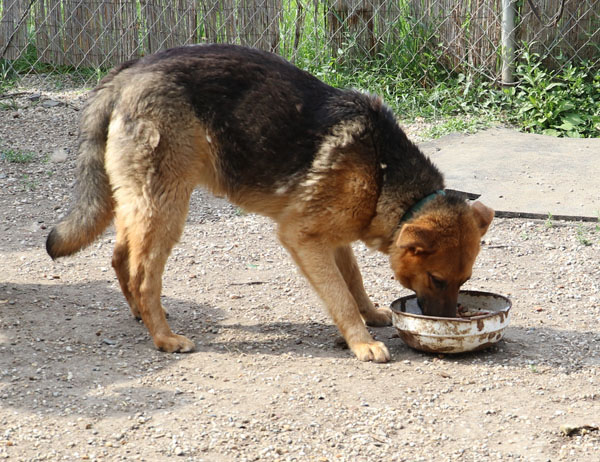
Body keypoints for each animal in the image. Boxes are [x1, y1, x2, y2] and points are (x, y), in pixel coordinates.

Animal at [47, 44, 494, 360]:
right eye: (437, 279)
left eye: (464, 281)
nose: (448, 322)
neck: (383, 171)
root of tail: (132, 71)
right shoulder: (303, 238)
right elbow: (340, 296)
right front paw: (361, 341)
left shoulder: (333, 238)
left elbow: (354, 281)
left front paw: (370, 313)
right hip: (168, 206)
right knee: (144, 274)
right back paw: (164, 338)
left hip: (142, 202)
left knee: (122, 256)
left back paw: (142, 315)